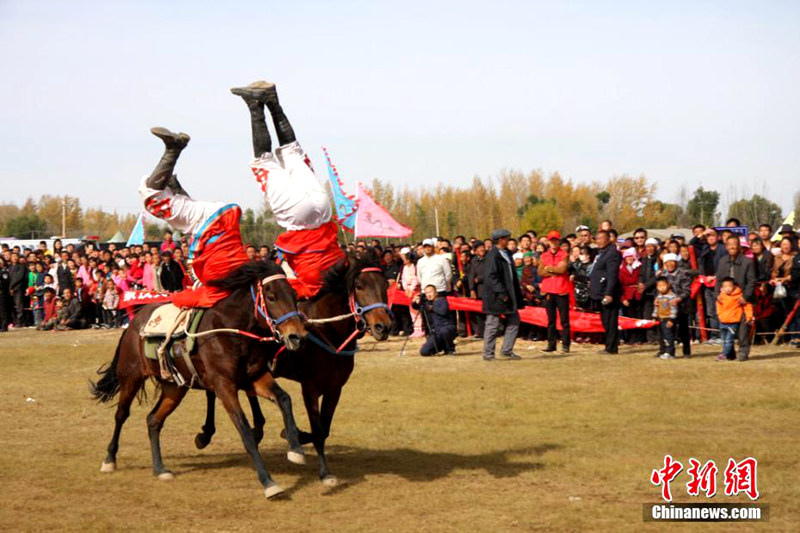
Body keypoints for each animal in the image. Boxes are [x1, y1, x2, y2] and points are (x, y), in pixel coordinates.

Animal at [90, 260, 308, 496]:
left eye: (294, 295)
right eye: (271, 296)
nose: (297, 336)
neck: (230, 329)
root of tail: (132, 324)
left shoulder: (254, 377)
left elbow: (284, 398)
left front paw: (296, 449)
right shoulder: (224, 385)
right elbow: (245, 429)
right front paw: (268, 482)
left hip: (174, 388)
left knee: (153, 420)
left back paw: (160, 468)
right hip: (131, 376)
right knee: (121, 415)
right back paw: (109, 459)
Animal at [195, 249, 392, 486]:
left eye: (385, 285)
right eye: (360, 285)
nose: (383, 326)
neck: (327, 332)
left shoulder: (335, 388)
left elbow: (324, 429)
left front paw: (295, 435)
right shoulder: (310, 387)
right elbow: (318, 431)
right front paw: (323, 471)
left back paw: (256, 426)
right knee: (213, 392)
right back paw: (207, 434)